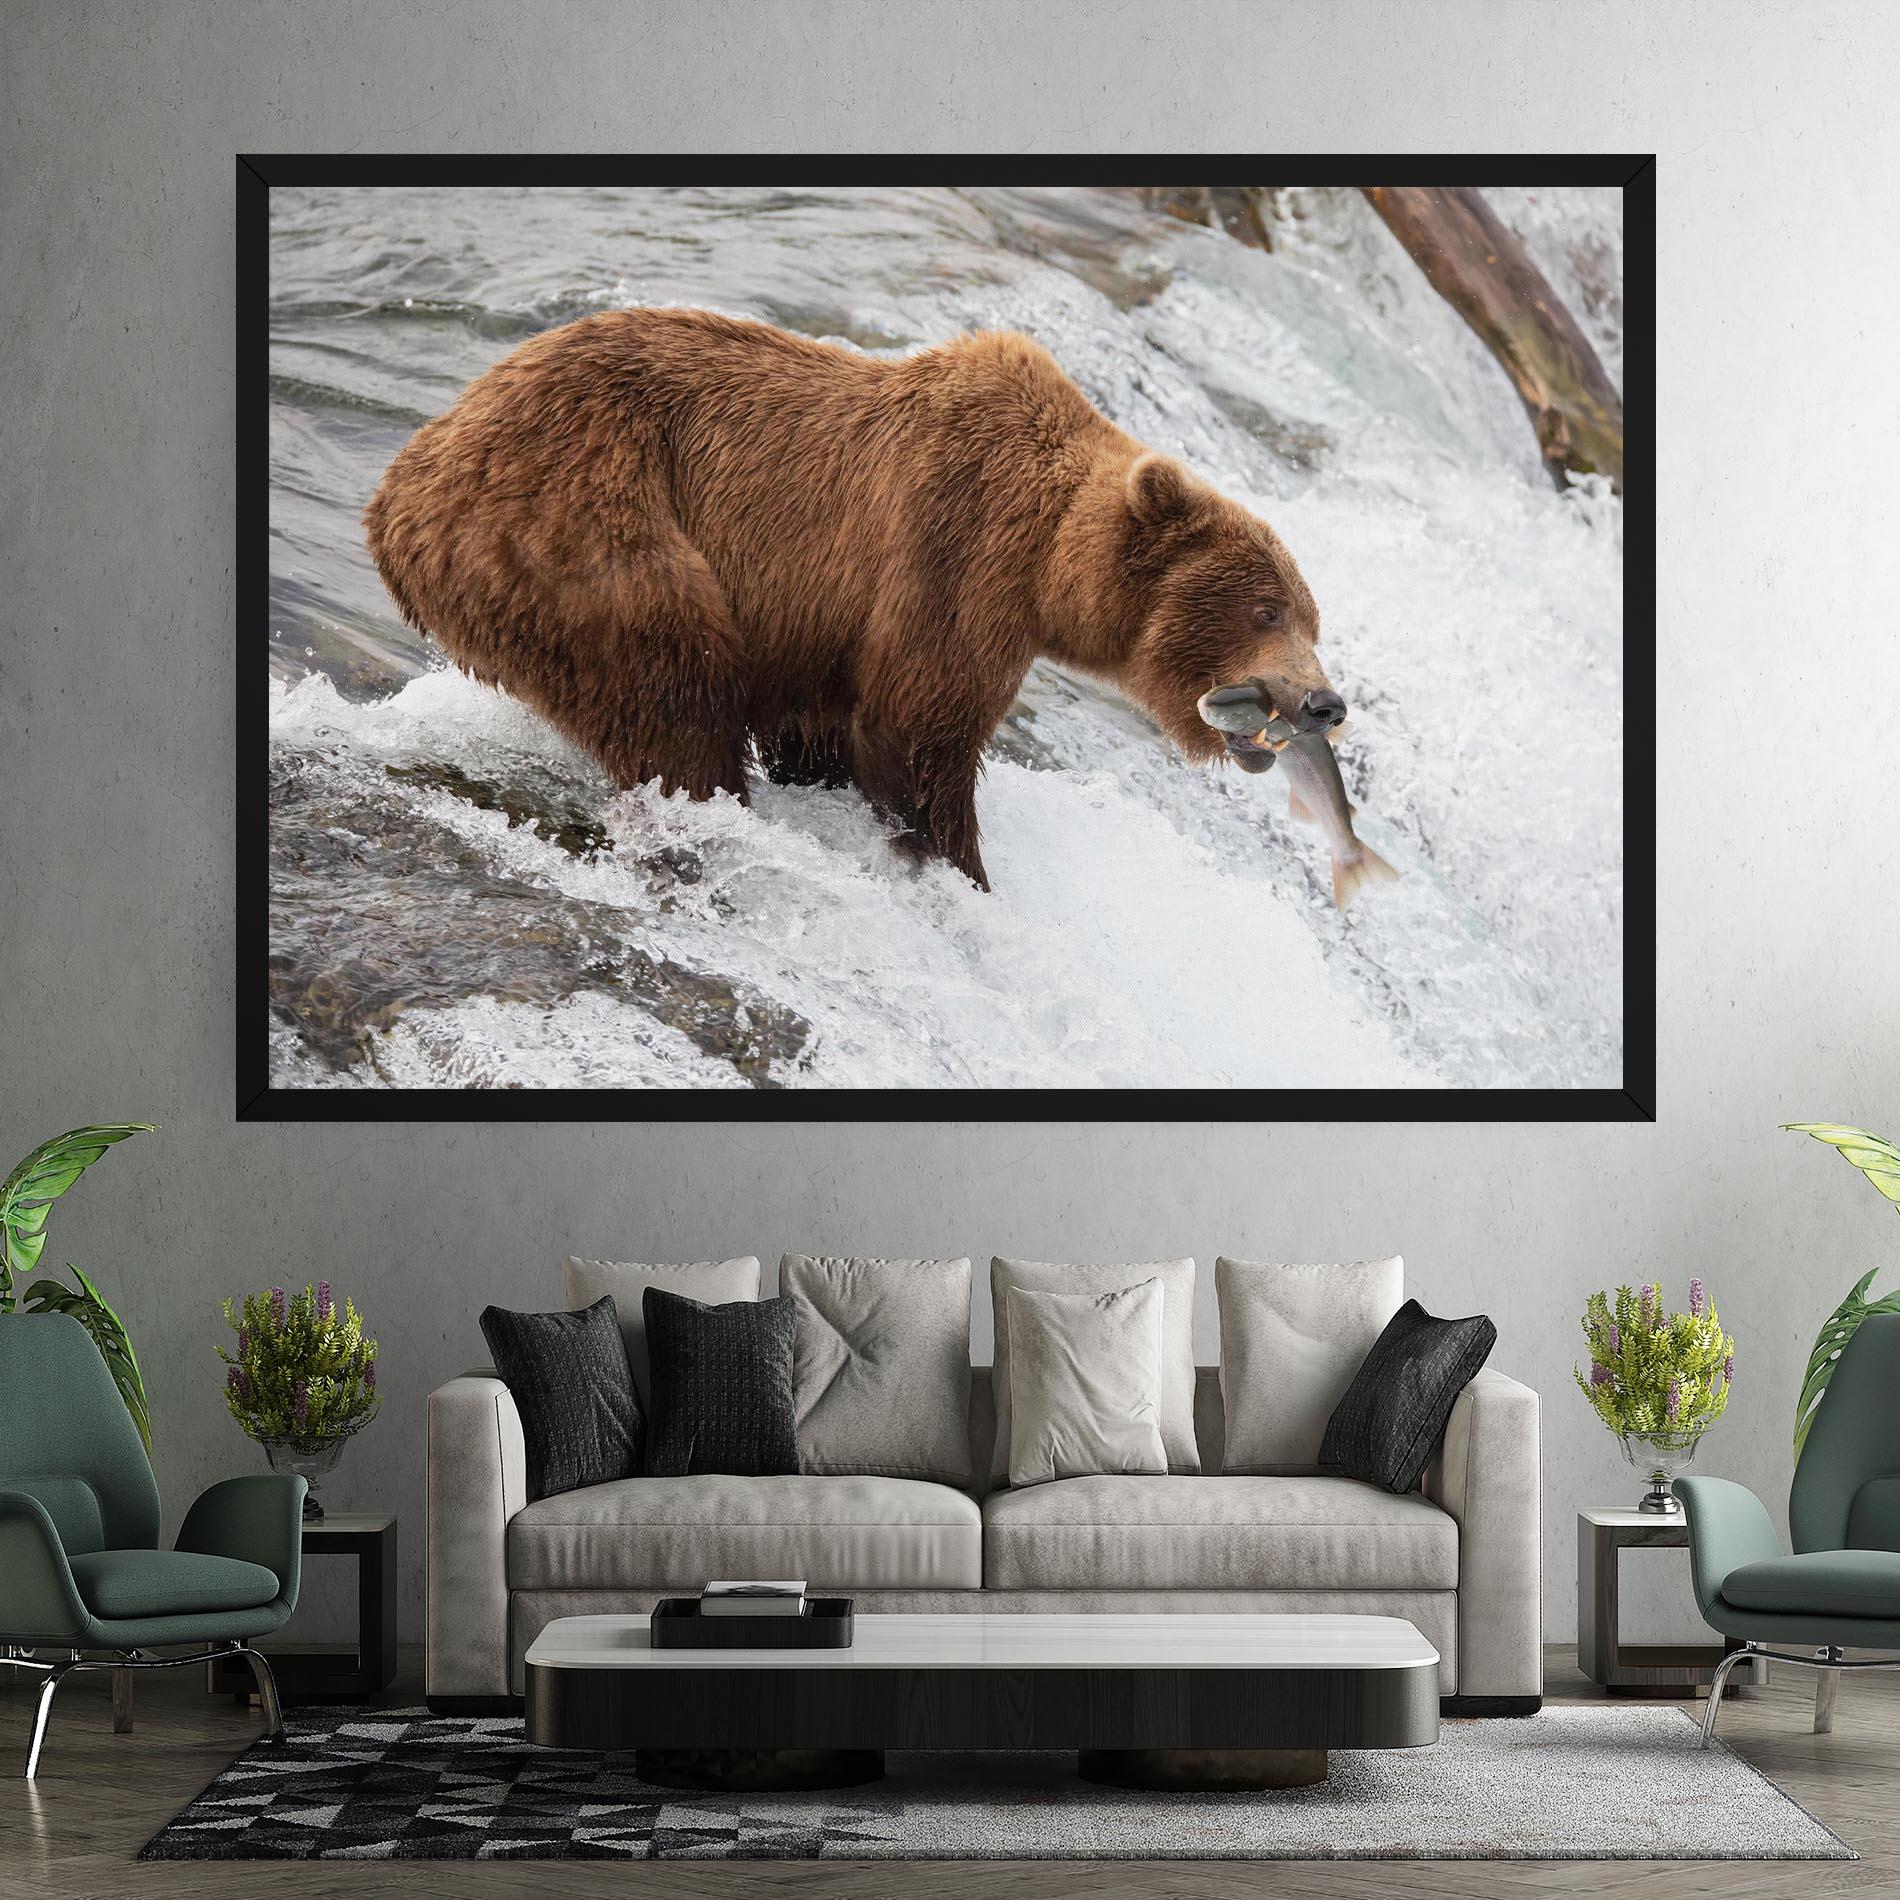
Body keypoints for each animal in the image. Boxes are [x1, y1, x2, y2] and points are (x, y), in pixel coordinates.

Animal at [364, 308, 1343, 891]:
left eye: (1312, 617)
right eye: (1267, 610)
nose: (1324, 703)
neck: (1047, 563)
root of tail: (400, 486)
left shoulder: (823, 632)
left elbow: (826, 729)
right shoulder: (953, 555)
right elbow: (918, 732)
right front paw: (960, 869)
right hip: (582, 525)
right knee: (672, 690)